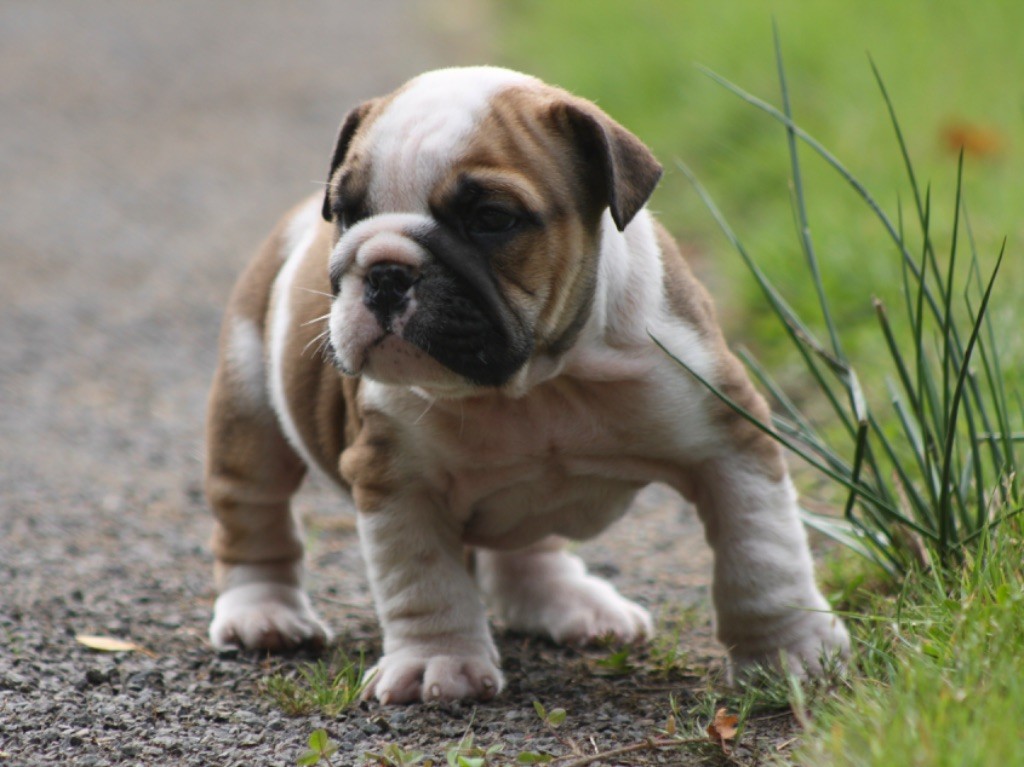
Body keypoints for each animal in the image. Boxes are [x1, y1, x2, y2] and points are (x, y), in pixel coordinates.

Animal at [205, 67, 847, 704]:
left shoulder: (728, 441)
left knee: (525, 547)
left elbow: (761, 556)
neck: (537, 385)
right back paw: (264, 614)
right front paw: (437, 663)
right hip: (249, 407)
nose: (385, 271)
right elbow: (422, 579)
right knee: (254, 514)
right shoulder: (396, 478)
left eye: (491, 219)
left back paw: (571, 604)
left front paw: (789, 651)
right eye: (344, 212)